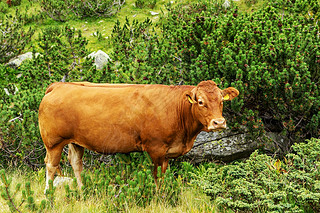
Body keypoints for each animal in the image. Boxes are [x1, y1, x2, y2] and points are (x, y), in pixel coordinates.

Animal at [38, 80, 239, 190]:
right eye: (200, 102)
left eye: (221, 101)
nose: (219, 123)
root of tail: (59, 85)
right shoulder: (155, 148)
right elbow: (157, 176)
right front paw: (159, 196)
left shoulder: (166, 152)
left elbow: (163, 174)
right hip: (54, 142)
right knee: (50, 166)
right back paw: (48, 196)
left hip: (76, 142)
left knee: (76, 163)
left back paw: (82, 190)